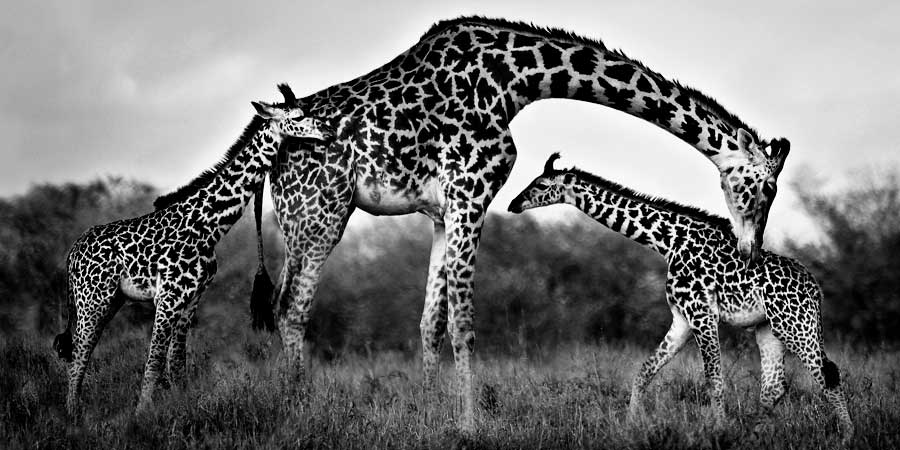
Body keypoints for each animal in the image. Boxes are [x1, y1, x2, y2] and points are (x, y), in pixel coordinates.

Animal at [52, 85, 334, 417]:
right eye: (298, 117)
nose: (329, 131)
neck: (208, 226)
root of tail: (72, 253)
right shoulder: (168, 298)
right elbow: (154, 361)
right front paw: (141, 416)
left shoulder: (191, 299)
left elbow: (177, 364)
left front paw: (178, 408)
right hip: (93, 299)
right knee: (79, 354)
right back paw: (73, 414)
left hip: (110, 300)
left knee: (81, 351)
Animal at [253, 17, 792, 431]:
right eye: (765, 188)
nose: (749, 251)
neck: (516, 79)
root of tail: (269, 153)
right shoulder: (471, 190)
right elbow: (464, 322)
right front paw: (471, 424)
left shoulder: (443, 211)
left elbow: (431, 321)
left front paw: (429, 414)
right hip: (321, 213)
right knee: (292, 308)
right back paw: (298, 410)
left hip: (302, 219)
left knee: (282, 304)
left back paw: (288, 402)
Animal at [508, 153, 853, 443]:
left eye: (540, 185)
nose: (513, 204)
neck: (668, 242)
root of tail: (814, 288)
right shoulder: (682, 319)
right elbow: (643, 372)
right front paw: (632, 426)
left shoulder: (702, 314)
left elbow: (713, 379)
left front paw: (719, 431)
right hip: (767, 329)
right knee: (774, 386)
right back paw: (753, 436)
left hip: (794, 324)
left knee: (827, 373)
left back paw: (847, 435)